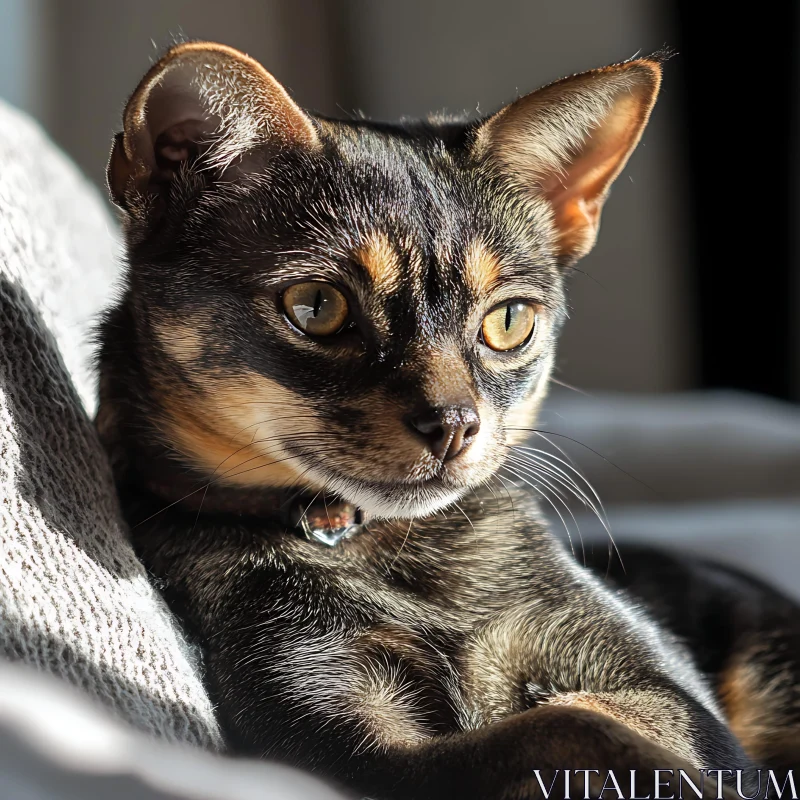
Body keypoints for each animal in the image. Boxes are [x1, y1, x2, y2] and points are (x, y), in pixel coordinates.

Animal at [95, 40, 800, 796]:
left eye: (510, 321)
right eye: (316, 307)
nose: (455, 424)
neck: (387, 549)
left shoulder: (664, 690)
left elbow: (608, 717)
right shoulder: (348, 744)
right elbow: (565, 727)